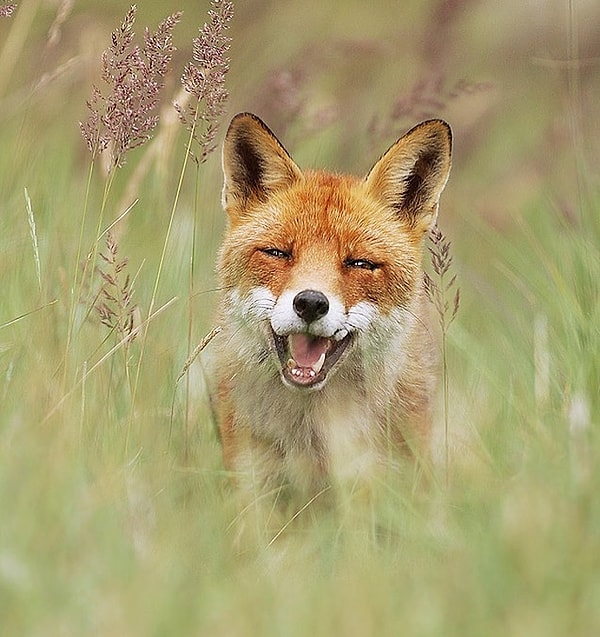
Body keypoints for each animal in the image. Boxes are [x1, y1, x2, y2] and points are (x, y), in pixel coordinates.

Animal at [206, 113, 450, 520]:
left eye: (360, 263)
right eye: (278, 253)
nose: (310, 303)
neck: (312, 434)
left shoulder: (370, 484)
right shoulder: (252, 481)